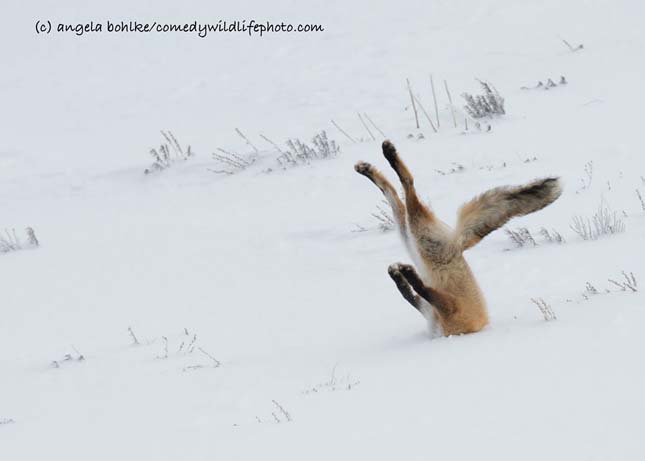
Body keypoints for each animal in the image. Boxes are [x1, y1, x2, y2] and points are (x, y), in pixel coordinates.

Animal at [354, 140, 560, 334]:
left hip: (418, 237)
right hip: (412, 237)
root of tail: (458, 244)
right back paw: (370, 168)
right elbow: (409, 293)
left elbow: (419, 290)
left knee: (407, 186)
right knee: (394, 193)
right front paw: (400, 275)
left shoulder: (449, 309)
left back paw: (386, 156)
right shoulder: (434, 309)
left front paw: (405, 275)